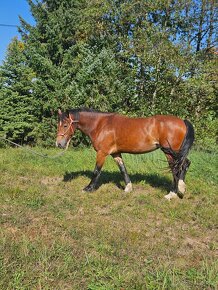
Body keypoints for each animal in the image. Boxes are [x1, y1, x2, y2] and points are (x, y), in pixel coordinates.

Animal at [55, 108, 194, 199]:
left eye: (65, 125)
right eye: (58, 124)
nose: (59, 144)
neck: (100, 124)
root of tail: (182, 121)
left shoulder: (102, 153)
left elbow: (96, 171)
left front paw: (88, 188)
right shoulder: (116, 153)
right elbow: (123, 169)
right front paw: (128, 188)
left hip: (170, 152)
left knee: (177, 168)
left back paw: (173, 193)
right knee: (184, 164)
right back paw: (180, 188)